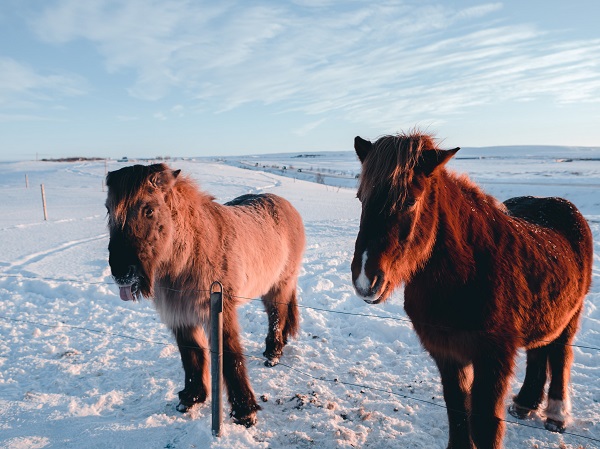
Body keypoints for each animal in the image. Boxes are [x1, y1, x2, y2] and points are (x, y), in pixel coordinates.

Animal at [103, 163, 308, 426]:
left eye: (149, 209)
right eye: (108, 209)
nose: (121, 272)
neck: (190, 254)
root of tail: (286, 205)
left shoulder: (219, 312)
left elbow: (230, 356)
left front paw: (245, 411)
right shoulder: (180, 315)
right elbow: (191, 356)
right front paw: (191, 398)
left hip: (280, 285)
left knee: (277, 316)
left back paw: (273, 354)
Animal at [352, 131, 592, 448]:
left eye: (410, 201)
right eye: (361, 198)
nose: (364, 280)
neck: (467, 275)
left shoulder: (492, 359)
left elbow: (484, 425)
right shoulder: (447, 354)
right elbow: (456, 410)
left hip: (571, 316)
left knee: (560, 355)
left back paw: (556, 414)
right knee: (539, 352)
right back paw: (525, 404)